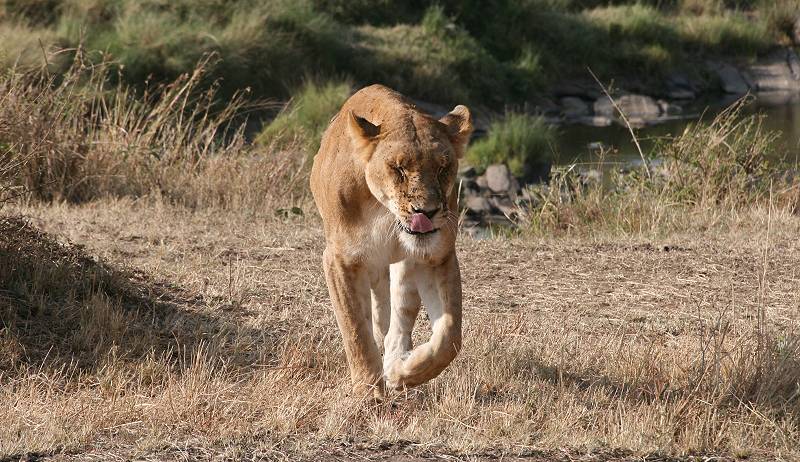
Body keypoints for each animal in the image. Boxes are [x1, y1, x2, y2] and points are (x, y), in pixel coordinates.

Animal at [310, 83, 472, 398]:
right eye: (399, 169)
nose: (426, 212)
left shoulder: (438, 256)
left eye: (442, 168)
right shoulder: (340, 260)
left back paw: (398, 364)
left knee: (398, 319)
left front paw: (403, 374)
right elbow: (355, 329)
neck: (386, 214)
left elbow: (449, 335)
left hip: (405, 266)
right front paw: (369, 391)